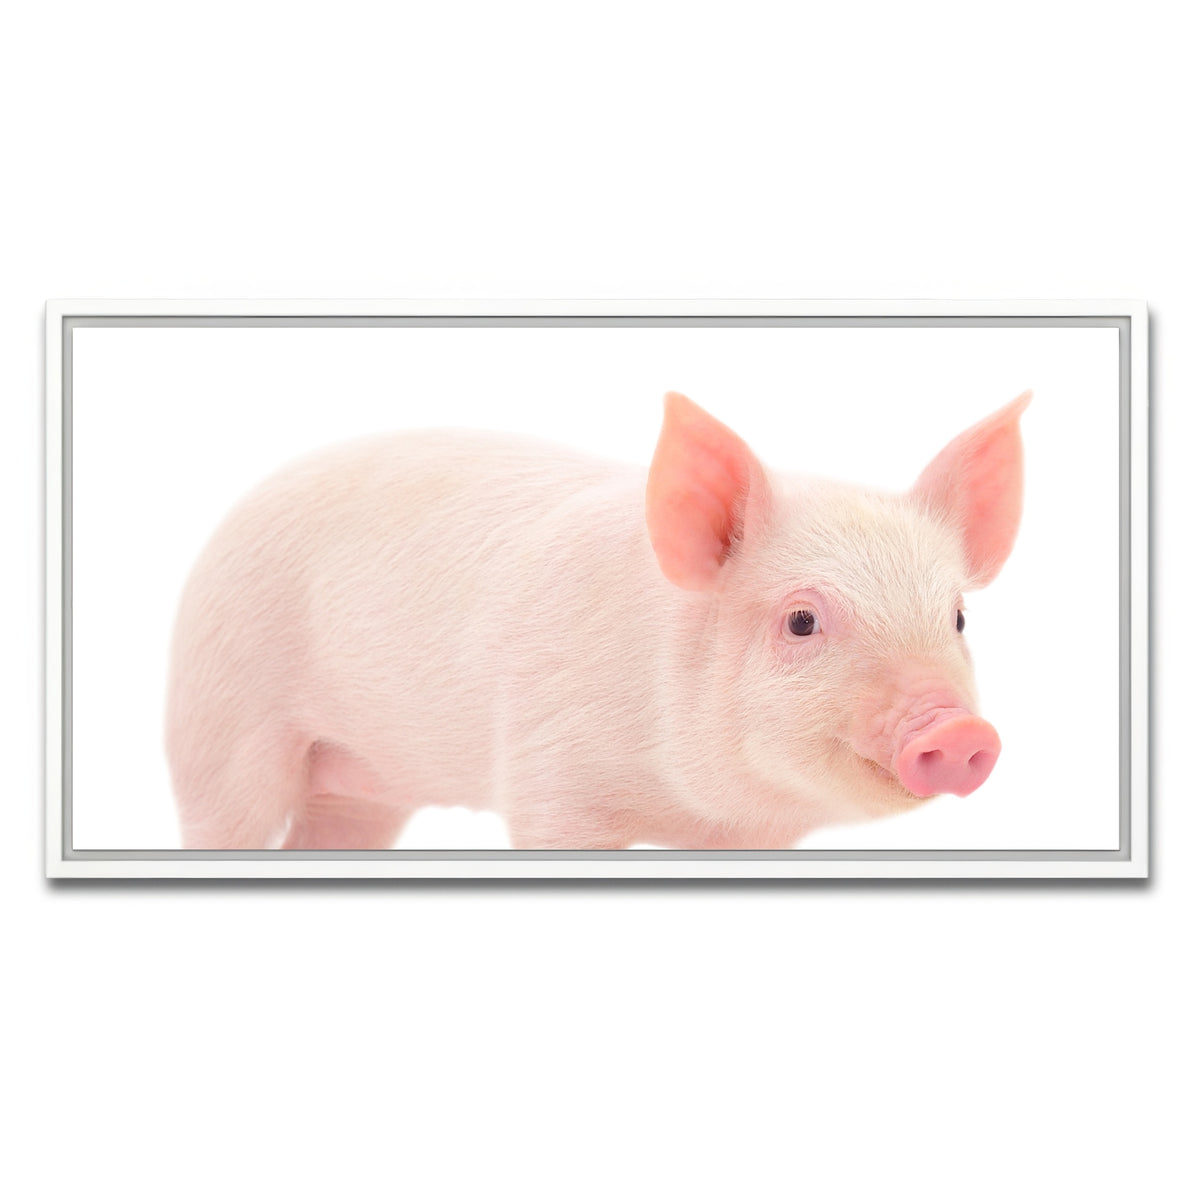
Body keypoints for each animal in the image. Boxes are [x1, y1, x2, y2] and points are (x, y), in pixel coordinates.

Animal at [165, 389, 1030, 851]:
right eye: (801, 621)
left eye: (956, 618)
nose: (958, 731)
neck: (687, 807)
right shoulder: (548, 772)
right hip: (220, 717)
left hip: (363, 785)